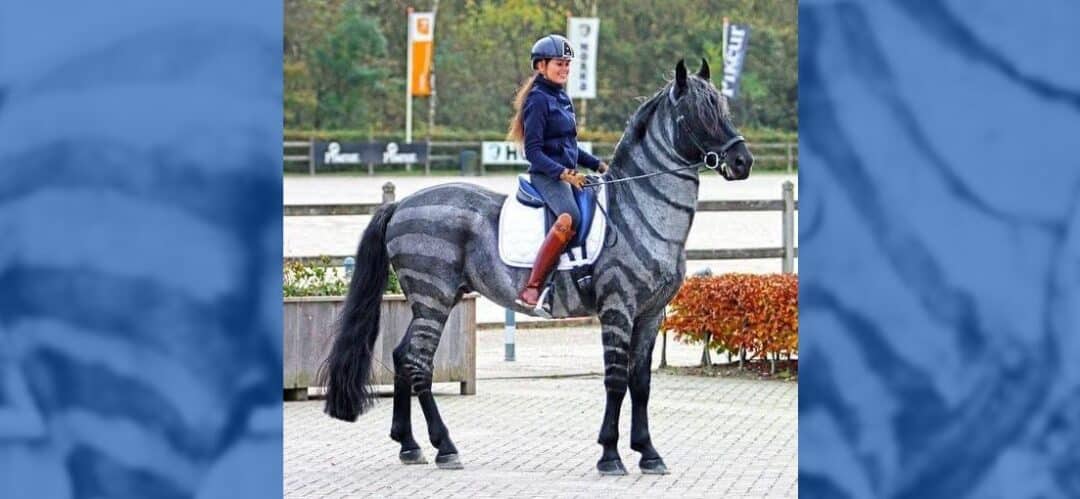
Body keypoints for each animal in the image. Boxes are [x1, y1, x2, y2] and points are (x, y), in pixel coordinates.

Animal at [321, 59, 751, 475]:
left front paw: (648, 453)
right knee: (417, 363)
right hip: (433, 298)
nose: (743, 162)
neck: (640, 210)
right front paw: (610, 455)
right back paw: (445, 448)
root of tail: (401, 205)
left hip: (434, 300)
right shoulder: (618, 308)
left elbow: (640, 383)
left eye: (724, 109)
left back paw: (409, 446)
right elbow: (615, 380)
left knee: (401, 356)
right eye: (700, 114)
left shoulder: (651, 313)